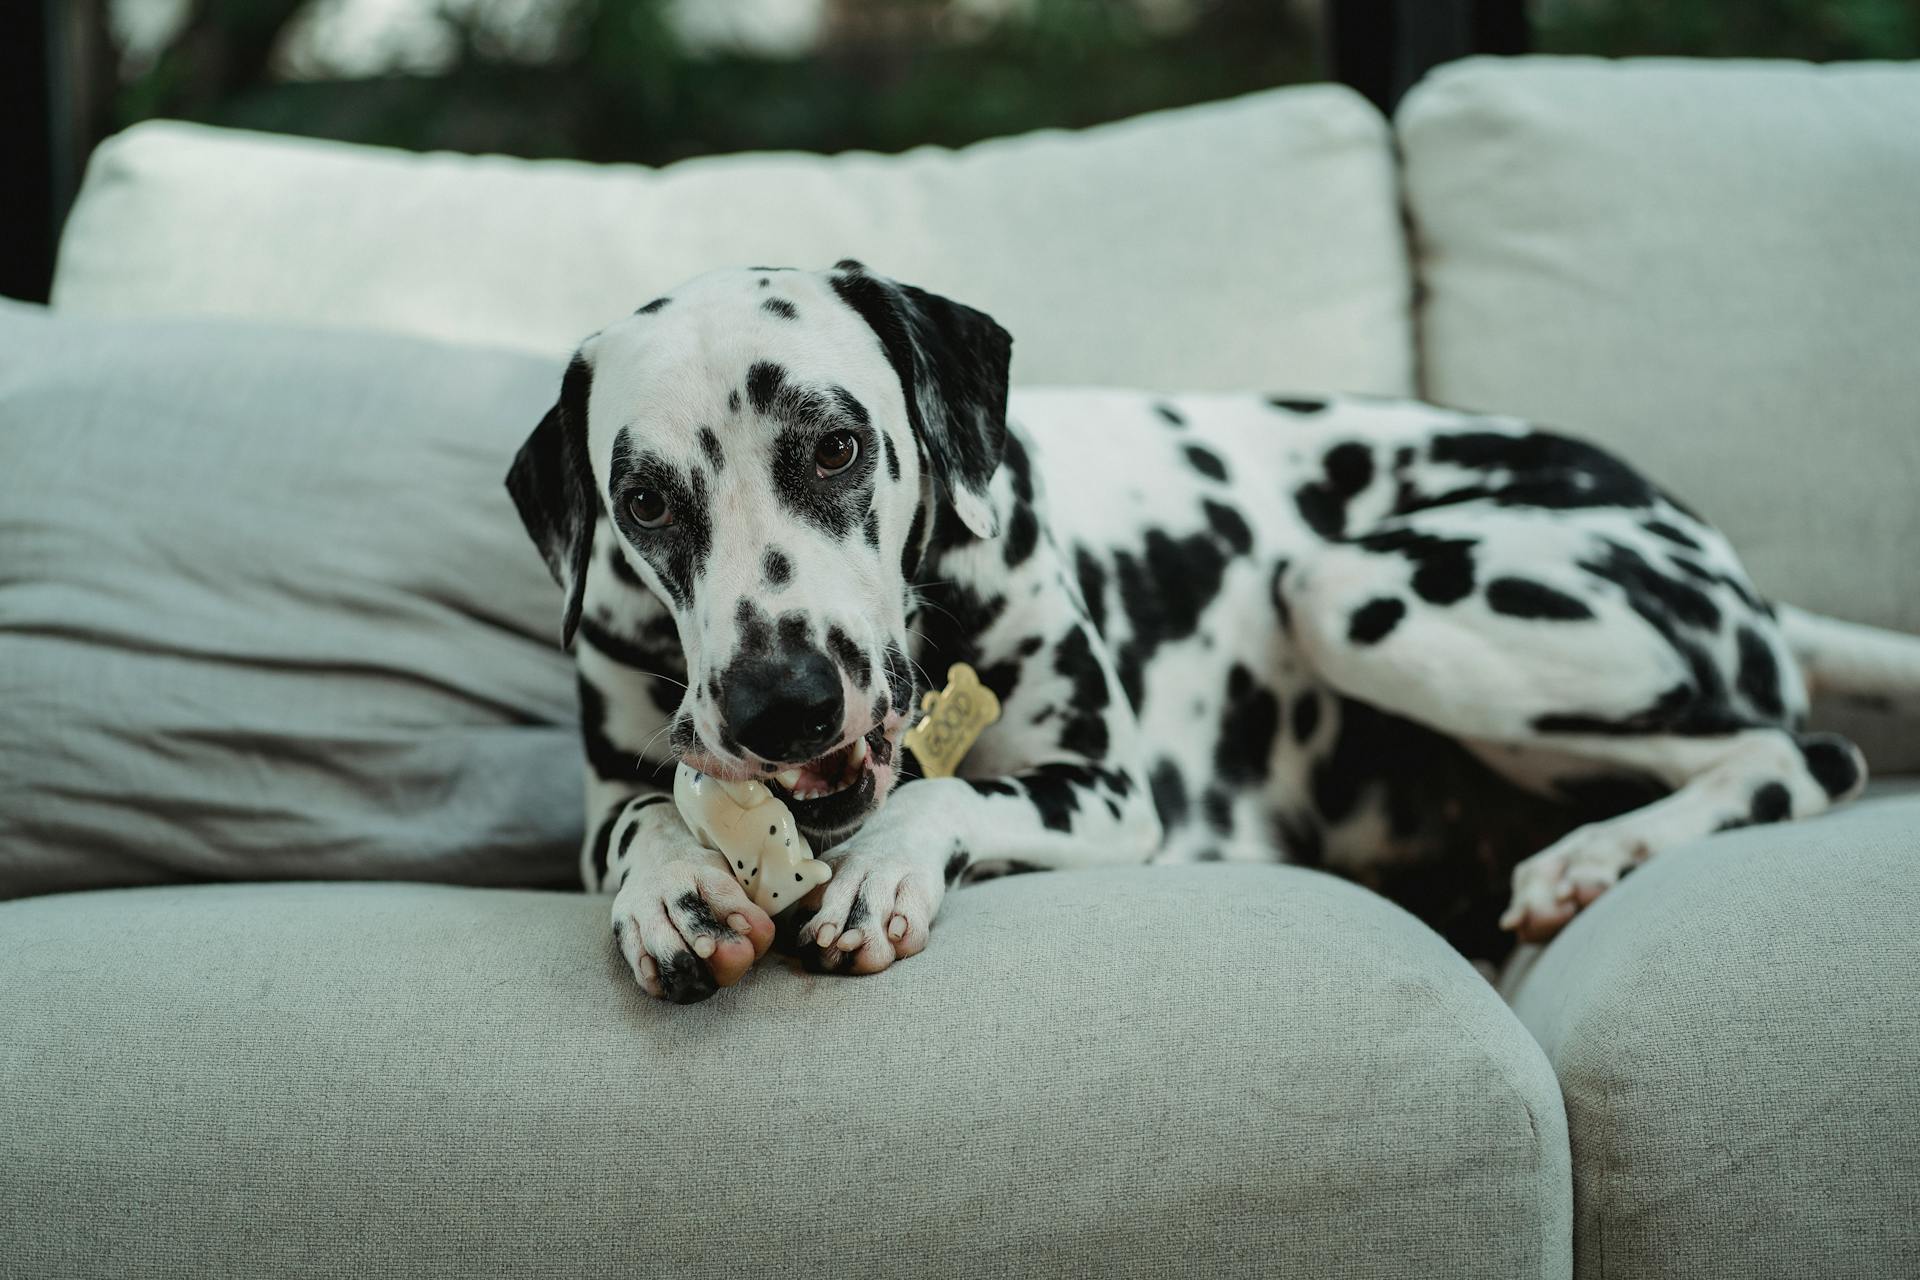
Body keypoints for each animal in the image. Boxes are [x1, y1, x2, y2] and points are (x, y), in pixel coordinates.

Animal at [506, 257, 1904, 997]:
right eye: (645, 499)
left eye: (836, 444)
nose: (782, 701)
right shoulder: (613, 789)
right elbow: (644, 818)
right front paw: (673, 890)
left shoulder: (1111, 790)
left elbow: (949, 794)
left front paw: (884, 865)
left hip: (1362, 597)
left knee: (1796, 751)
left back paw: (1594, 856)